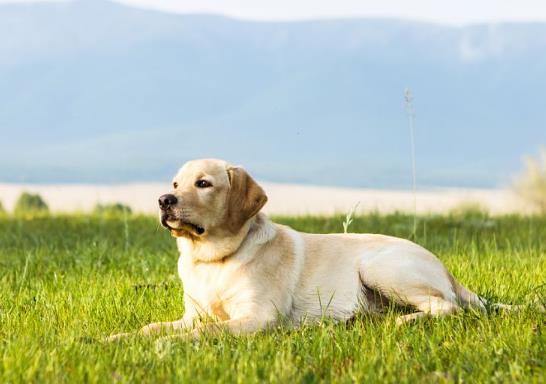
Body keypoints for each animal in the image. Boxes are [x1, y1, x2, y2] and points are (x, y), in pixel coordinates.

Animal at [109, 158, 520, 340]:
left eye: (204, 183)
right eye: (175, 183)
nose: (164, 200)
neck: (213, 258)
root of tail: (445, 267)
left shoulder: (257, 317)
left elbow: (204, 333)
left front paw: (168, 345)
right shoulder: (192, 314)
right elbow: (150, 327)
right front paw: (117, 339)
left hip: (379, 266)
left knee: (446, 307)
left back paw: (403, 322)